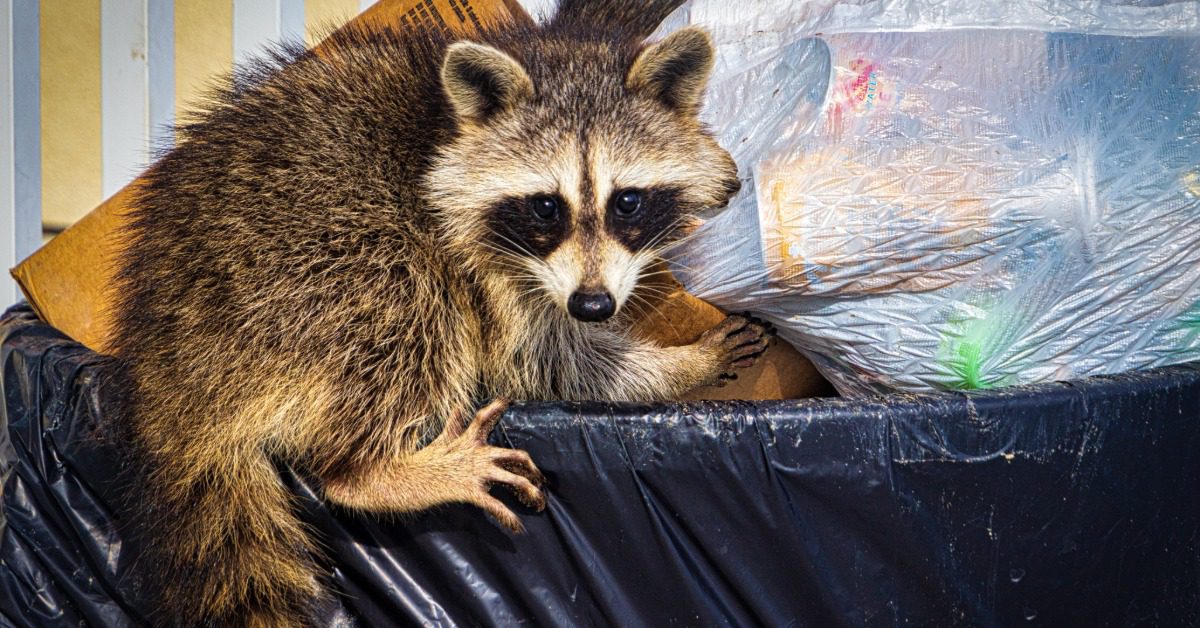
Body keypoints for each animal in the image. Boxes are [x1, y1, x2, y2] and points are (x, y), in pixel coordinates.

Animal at [107, 0, 771, 625]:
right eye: (545, 207)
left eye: (627, 202)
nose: (592, 305)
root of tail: (159, 361)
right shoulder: (479, 267)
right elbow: (546, 365)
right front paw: (685, 366)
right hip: (301, 274)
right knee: (405, 300)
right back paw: (372, 472)